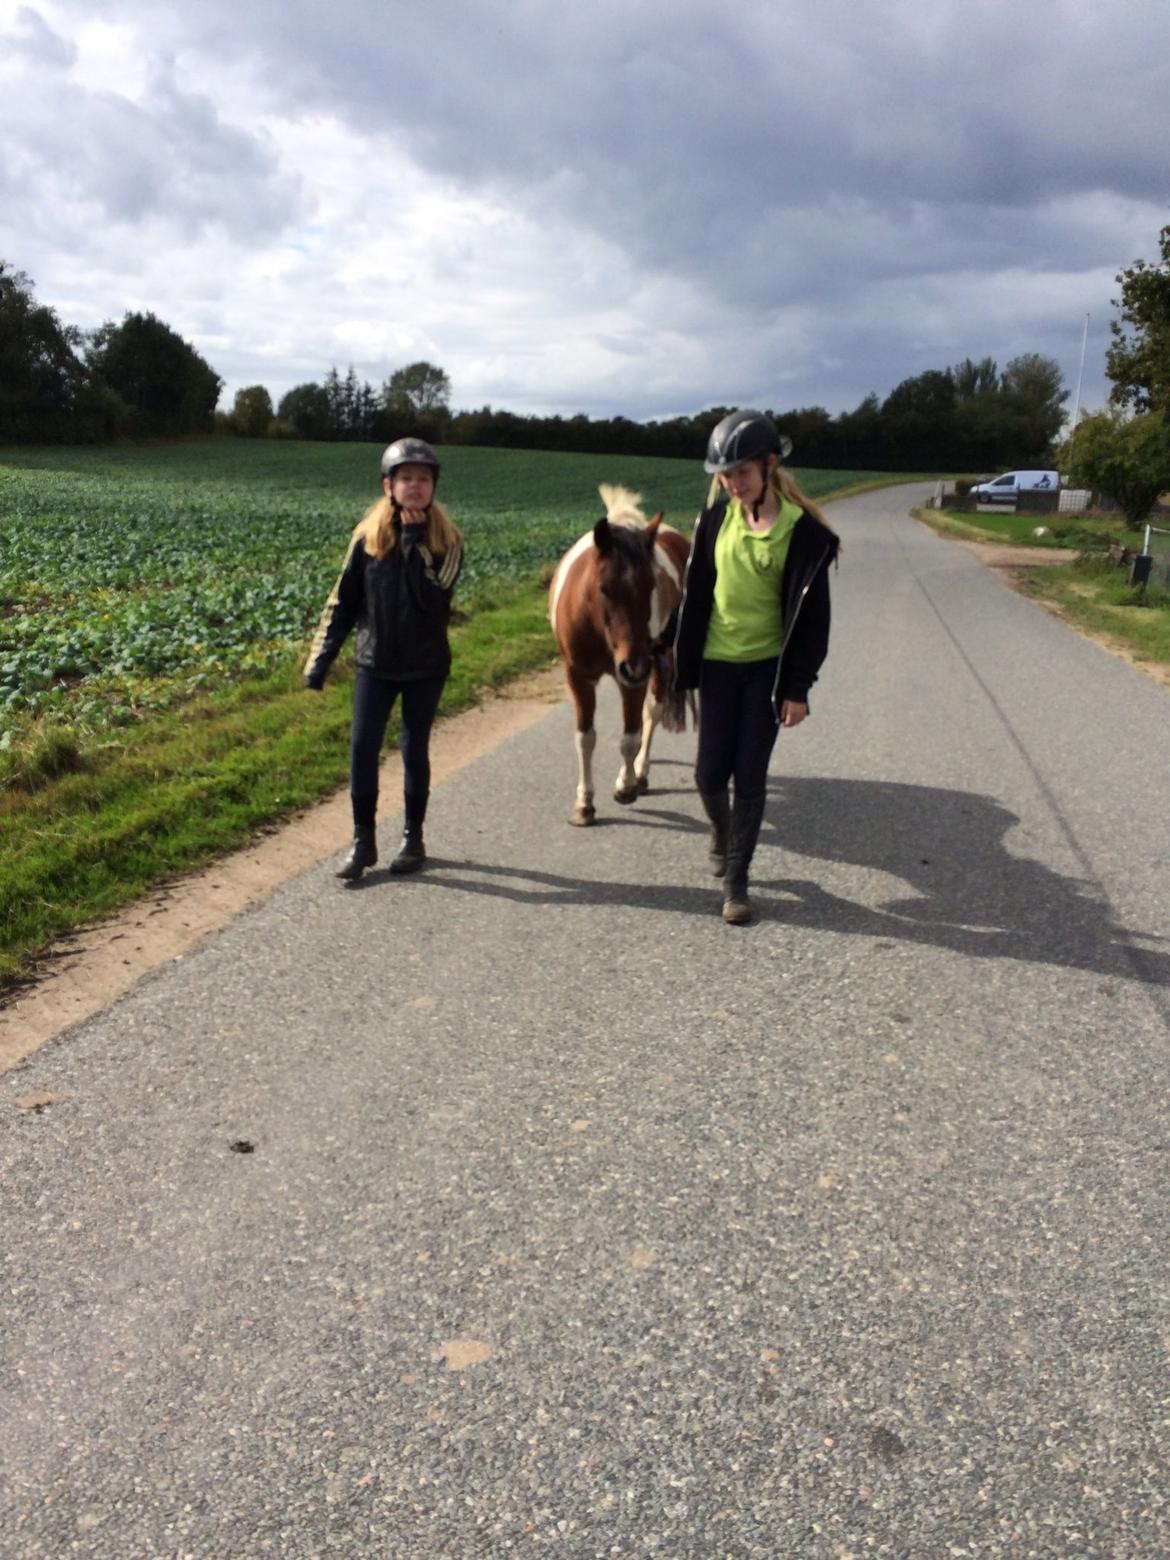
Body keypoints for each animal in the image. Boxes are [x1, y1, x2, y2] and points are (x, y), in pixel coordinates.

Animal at [548, 484, 693, 826]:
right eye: (604, 588)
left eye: (651, 585)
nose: (634, 665)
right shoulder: (578, 676)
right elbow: (585, 737)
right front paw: (584, 804)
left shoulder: (634, 679)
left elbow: (630, 736)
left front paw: (625, 787)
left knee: (652, 713)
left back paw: (641, 772)